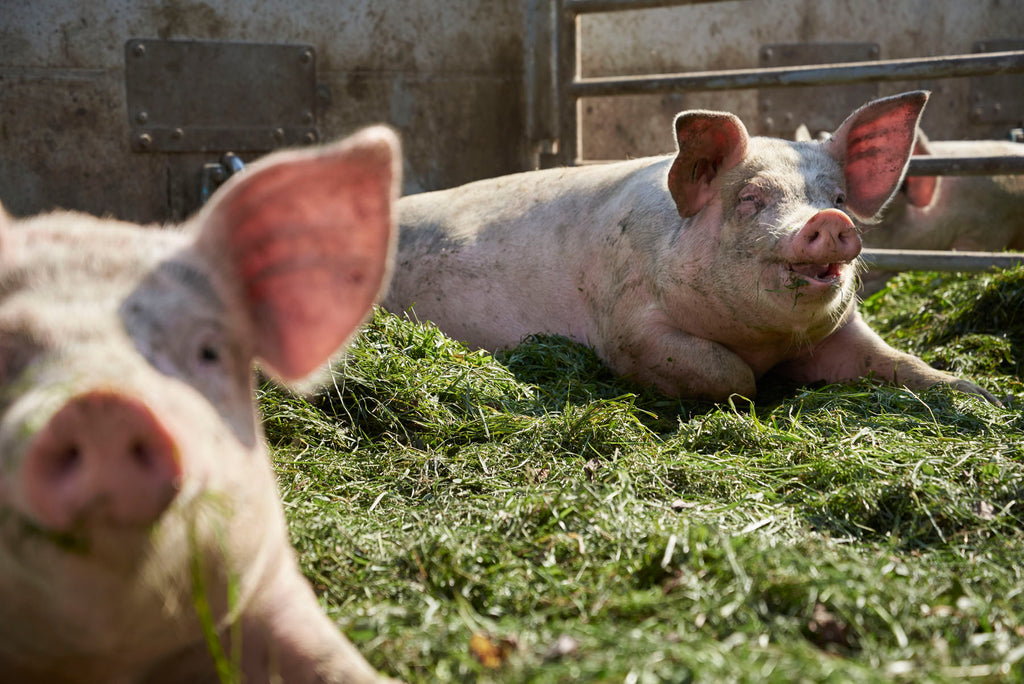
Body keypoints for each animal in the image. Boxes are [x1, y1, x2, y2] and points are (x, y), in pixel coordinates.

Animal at [382, 90, 991, 401]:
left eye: (837, 194)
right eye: (750, 197)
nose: (831, 219)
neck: (767, 342)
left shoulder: (842, 329)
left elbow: (895, 358)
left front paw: (980, 393)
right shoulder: (627, 326)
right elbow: (731, 374)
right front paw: (757, 392)